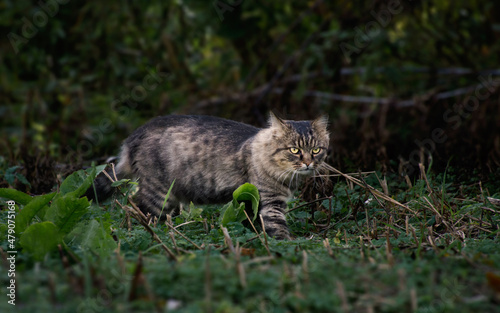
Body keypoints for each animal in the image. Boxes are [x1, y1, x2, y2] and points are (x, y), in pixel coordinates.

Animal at [91, 112, 328, 239]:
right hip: (157, 194)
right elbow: (278, 229)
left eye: (316, 150)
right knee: (138, 211)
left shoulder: (249, 199)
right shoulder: (270, 201)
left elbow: (249, 221)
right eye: (294, 150)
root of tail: (134, 135)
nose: (308, 163)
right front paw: (287, 245)